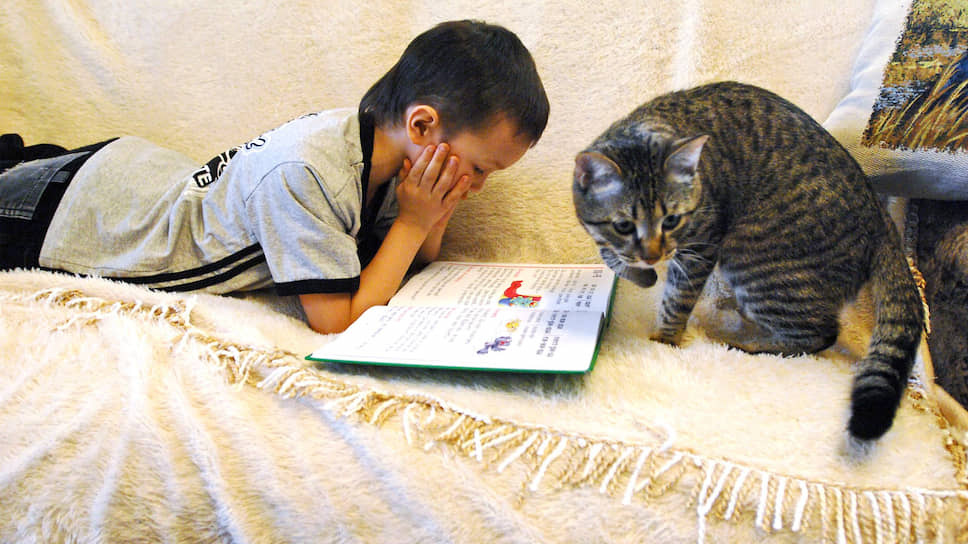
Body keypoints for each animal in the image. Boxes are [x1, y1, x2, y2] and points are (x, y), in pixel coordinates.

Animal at [572, 81, 924, 442]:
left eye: (671, 220)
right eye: (623, 226)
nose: (653, 256)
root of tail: (880, 217)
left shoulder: (701, 247)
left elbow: (676, 301)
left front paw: (663, 339)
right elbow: (610, 256)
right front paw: (639, 273)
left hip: (756, 266)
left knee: (819, 334)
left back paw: (746, 344)